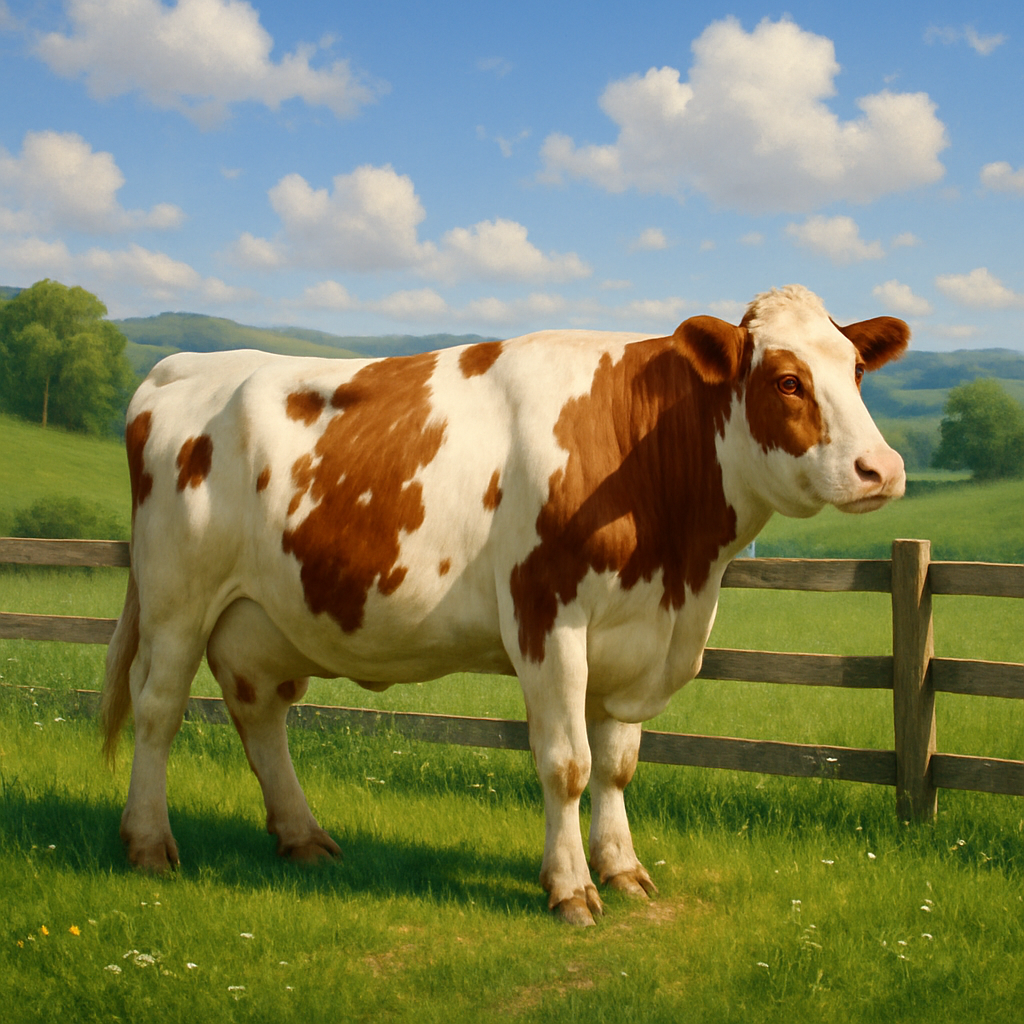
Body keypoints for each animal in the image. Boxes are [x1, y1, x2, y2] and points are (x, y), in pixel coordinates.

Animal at [102, 284, 908, 925]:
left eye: (856, 370)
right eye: (787, 381)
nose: (883, 469)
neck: (682, 570)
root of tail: (186, 366)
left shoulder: (635, 635)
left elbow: (617, 764)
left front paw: (622, 869)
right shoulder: (547, 616)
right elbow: (567, 763)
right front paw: (572, 889)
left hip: (258, 616)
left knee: (259, 712)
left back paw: (302, 837)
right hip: (175, 595)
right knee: (158, 707)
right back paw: (147, 842)